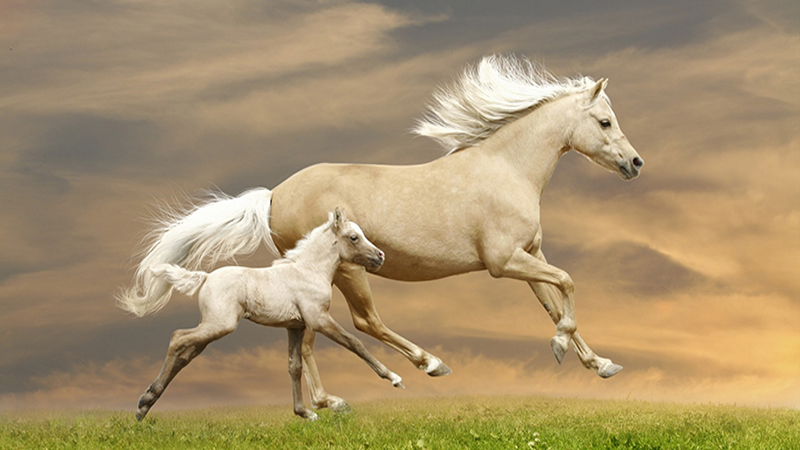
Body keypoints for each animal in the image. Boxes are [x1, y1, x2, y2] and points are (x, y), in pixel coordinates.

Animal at [134, 209, 403, 421]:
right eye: (354, 237)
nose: (380, 256)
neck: (309, 271)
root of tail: (206, 277)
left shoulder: (295, 326)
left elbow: (294, 366)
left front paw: (305, 413)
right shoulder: (318, 319)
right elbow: (354, 343)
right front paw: (394, 377)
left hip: (211, 329)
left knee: (184, 354)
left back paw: (144, 406)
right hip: (220, 325)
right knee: (178, 337)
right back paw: (145, 401)